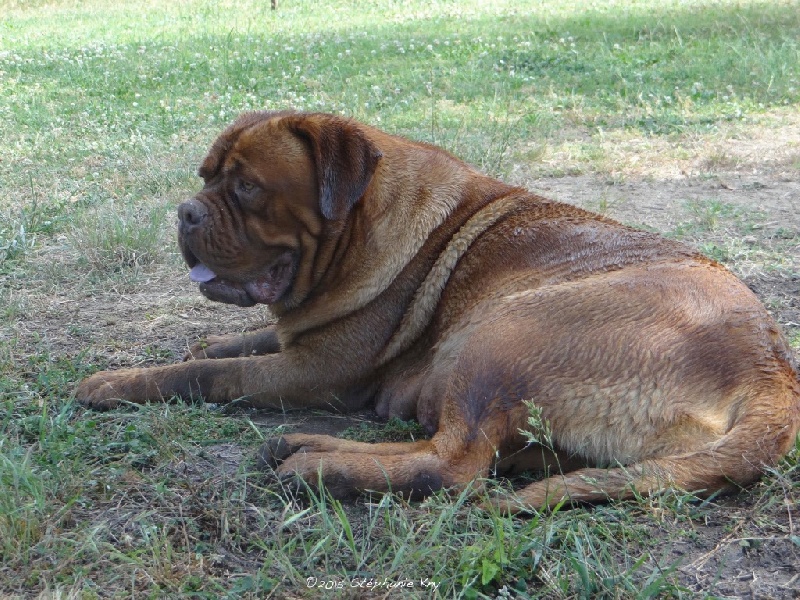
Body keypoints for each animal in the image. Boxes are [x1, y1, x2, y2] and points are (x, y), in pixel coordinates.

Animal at [75, 110, 800, 508]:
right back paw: (304, 445)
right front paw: (204, 344)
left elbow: (207, 374)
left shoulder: (315, 370)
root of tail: (771, 369)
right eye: (204, 178)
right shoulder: (300, 340)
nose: (186, 212)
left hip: (502, 334)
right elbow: (237, 344)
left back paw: (318, 466)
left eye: (248, 188)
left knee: (452, 464)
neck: (362, 221)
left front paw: (114, 383)